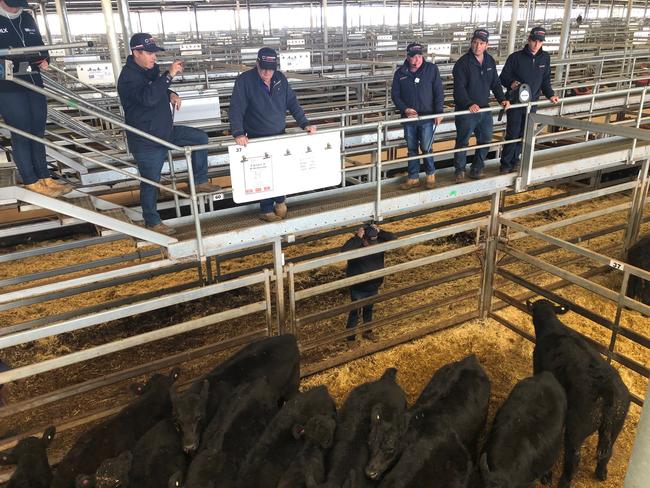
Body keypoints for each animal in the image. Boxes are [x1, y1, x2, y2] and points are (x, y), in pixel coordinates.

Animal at [528, 298, 628, 488]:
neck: (553, 330)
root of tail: (607, 391)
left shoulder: (538, 366)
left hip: (577, 429)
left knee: (573, 460)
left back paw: (563, 482)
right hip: (616, 425)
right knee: (608, 452)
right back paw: (601, 473)